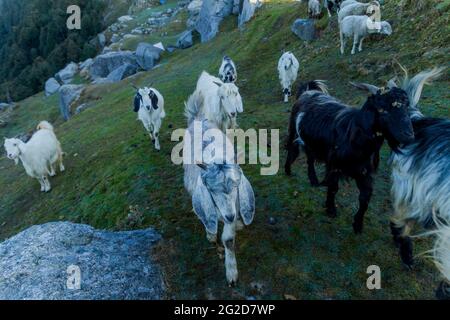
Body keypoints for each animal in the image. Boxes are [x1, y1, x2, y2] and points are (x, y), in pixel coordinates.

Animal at [182, 89, 253, 284]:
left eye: (236, 186)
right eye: (212, 190)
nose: (230, 216)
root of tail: (197, 118)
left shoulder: (233, 204)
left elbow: (228, 239)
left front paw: (231, 272)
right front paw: (211, 234)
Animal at [284, 78, 414, 232]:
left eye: (407, 106)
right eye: (382, 110)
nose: (409, 136)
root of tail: (308, 91)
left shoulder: (364, 172)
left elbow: (365, 197)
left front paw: (358, 224)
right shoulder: (335, 165)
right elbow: (333, 188)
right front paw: (331, 210)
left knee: (310, 157)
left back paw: (314, 180)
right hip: (293, 131)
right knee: (292, 149)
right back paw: (287, 170)